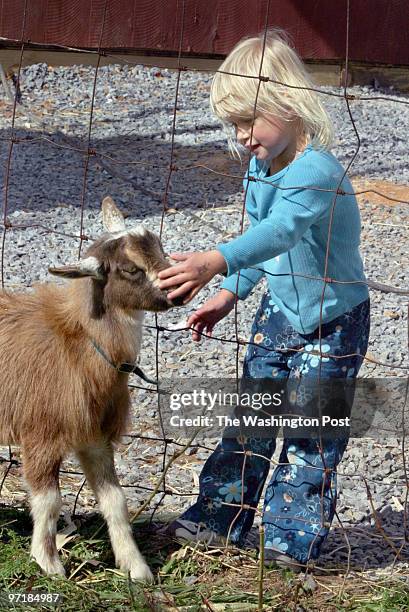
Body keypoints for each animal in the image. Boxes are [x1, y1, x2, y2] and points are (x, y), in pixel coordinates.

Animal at [0, 197, 175, 584]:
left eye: (161, 247)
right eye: (130, 269)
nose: (178, 291)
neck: (79, 345)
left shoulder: (95, 437)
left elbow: (116, 501)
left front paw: (136, 567)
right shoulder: (41, 434)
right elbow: (49, 501)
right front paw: (48, 562)